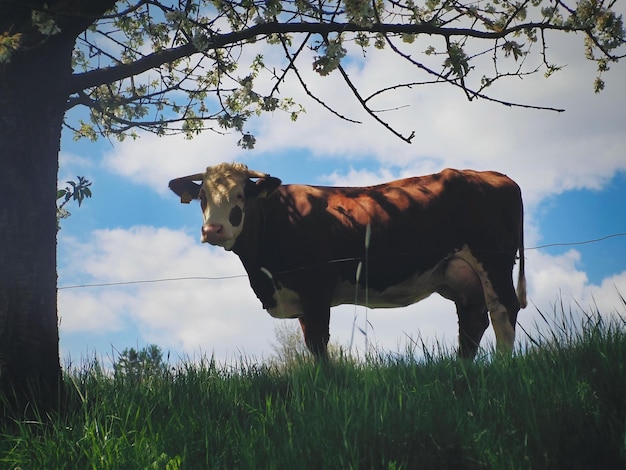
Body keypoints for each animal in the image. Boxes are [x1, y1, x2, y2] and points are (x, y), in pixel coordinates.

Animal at [168, 162, 524, 360]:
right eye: (202, 198)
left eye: (241, 195)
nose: (213, 230)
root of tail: (496, 176)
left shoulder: (315, 290)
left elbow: (318, 343)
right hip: (463, 277)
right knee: (473, 322)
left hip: (494, 262)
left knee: (502, 312)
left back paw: (503, 368)